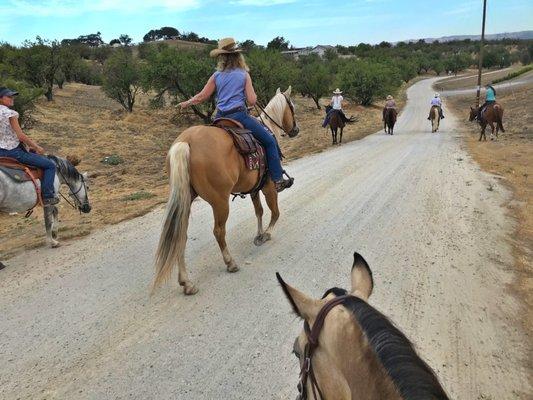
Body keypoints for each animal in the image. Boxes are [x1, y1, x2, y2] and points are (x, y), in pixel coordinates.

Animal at [153, 86, 300, 294]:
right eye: (292, 106)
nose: (295, 129)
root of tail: (186, 142)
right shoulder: (269, 187)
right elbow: (275, 212)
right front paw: (266, 235)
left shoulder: (254, 189)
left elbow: (259, 211)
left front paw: (258, 234)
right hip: (220, 201)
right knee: (219, 231)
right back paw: (230, 263)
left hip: (185, 199)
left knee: (181, 235)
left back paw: (186, 283)